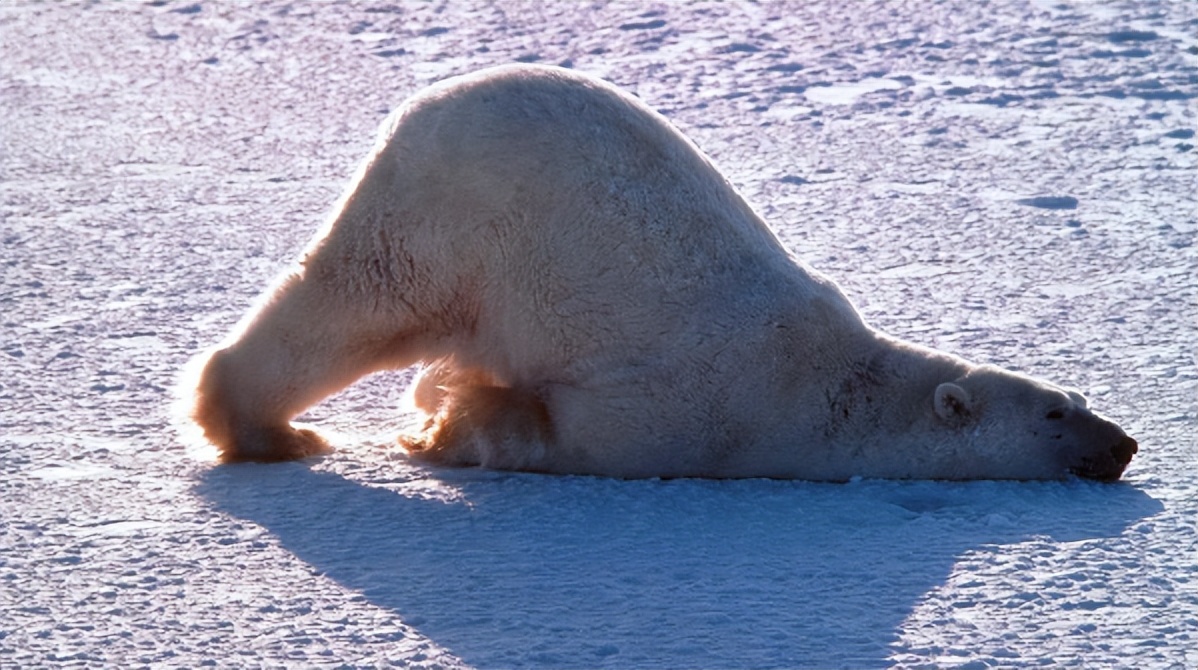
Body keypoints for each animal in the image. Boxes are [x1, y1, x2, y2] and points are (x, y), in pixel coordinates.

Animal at [191, 64, 1135, 481]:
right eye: (1057, 414)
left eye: (1080, 396)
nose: (1124, 443)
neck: (826, 388)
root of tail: (430, 102)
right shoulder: (701, 411)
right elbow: (567, 428)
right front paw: (450, 422)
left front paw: (439, 407)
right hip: (451, 221)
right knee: (357, 305)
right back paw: (267, 431)